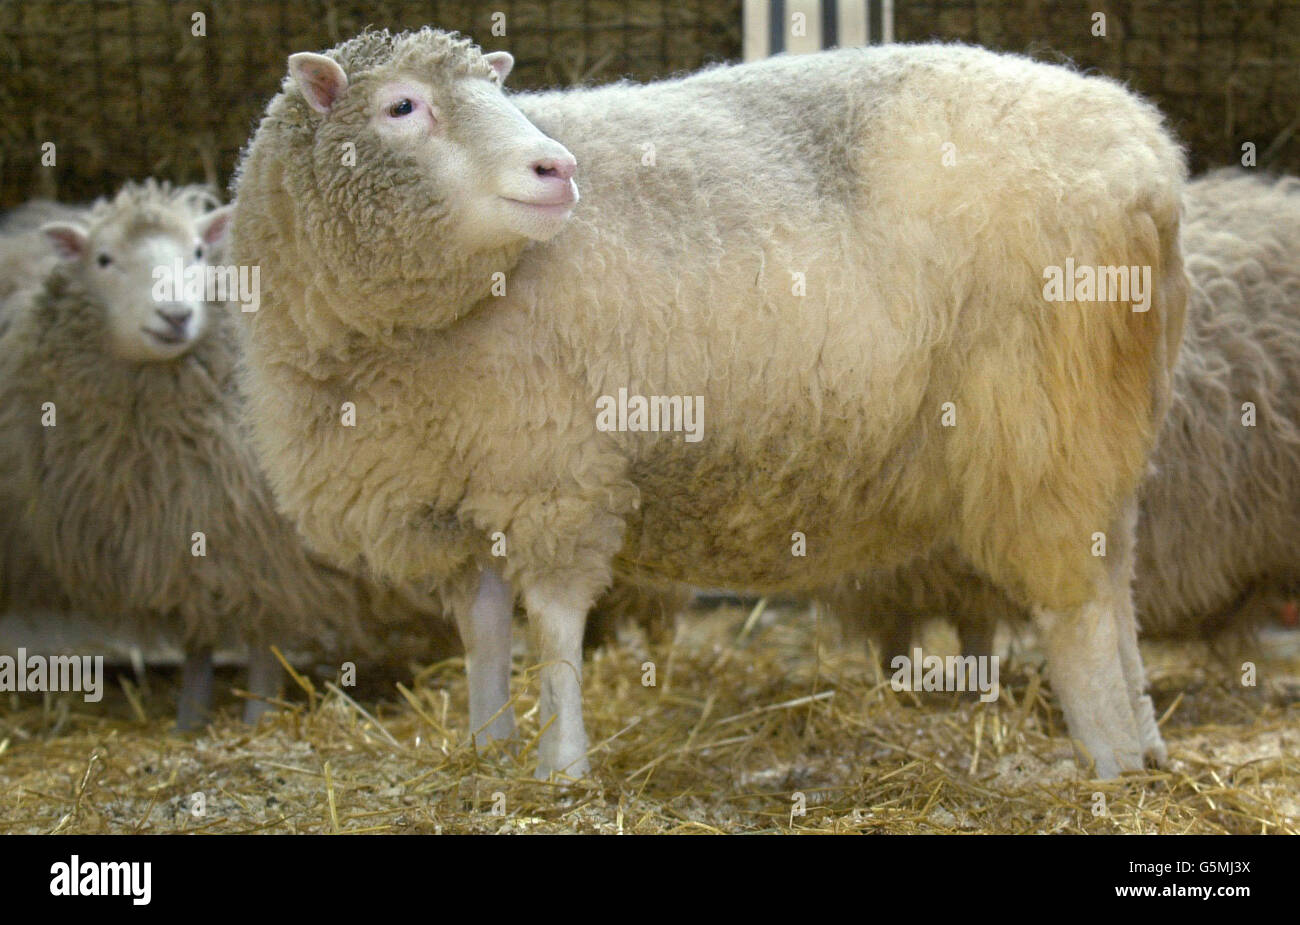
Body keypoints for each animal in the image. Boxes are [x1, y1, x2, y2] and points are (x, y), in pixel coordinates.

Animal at [231, 28, 1190, 774]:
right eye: (401, 107)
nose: (558, 168)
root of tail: (1150, 157)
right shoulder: (452, 492)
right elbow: (484, 631)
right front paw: (487, 746)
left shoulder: (556, 472)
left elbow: (556, 627)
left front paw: (562, 767)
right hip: (1109, 410)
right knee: (1117, 578)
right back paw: (1146, 743)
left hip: (1038, 412)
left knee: (1077, 601)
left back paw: (1107, 757)